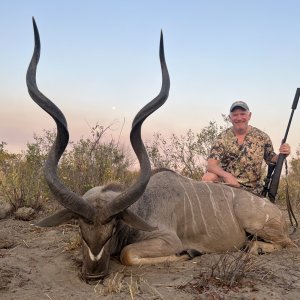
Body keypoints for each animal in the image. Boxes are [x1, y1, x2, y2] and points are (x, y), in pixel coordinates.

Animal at [26, 18, 292, 282]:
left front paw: (189, 253)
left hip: (259, 226)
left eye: (112, 229)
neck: (143, 206)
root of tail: (275, 211)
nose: (93, 275)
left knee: (285, 243)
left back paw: (253, 247)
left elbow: (128, 254)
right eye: (81, 229)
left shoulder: (167, 239)